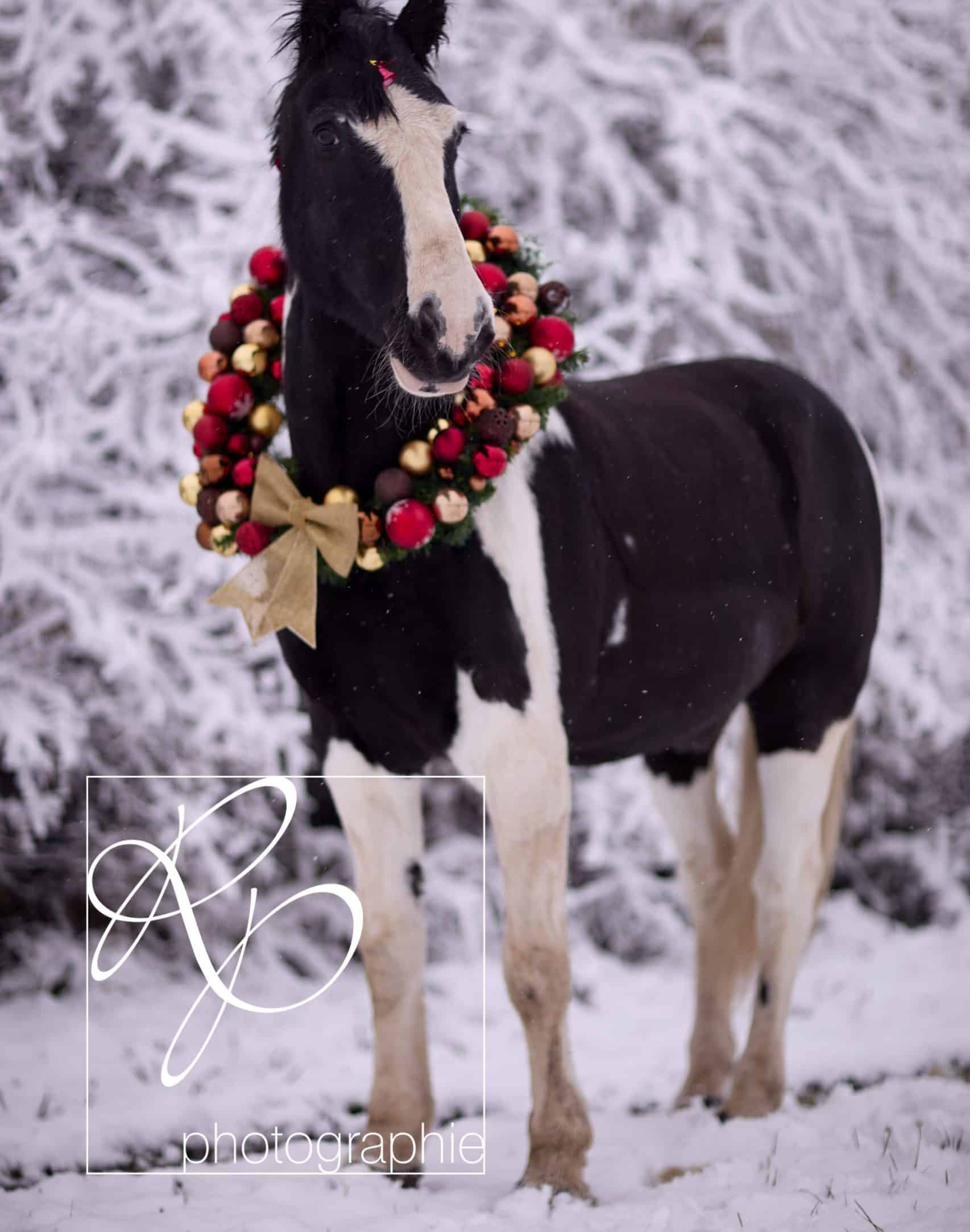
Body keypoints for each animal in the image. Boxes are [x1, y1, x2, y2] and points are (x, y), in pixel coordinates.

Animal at [271, 0, 882, 1199]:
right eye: (327, 133)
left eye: (453, 137)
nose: (452, 335)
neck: (393, 519)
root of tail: (807, 410)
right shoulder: (357, 752)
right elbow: (391, 954)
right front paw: (390, 1153)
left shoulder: (522, 752)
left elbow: (534, 963)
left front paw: (555, 1164)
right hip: (681, 735)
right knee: (715, 886)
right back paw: (697, 1088)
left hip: (808, 705)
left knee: (782, 891)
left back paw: (751, 1098)